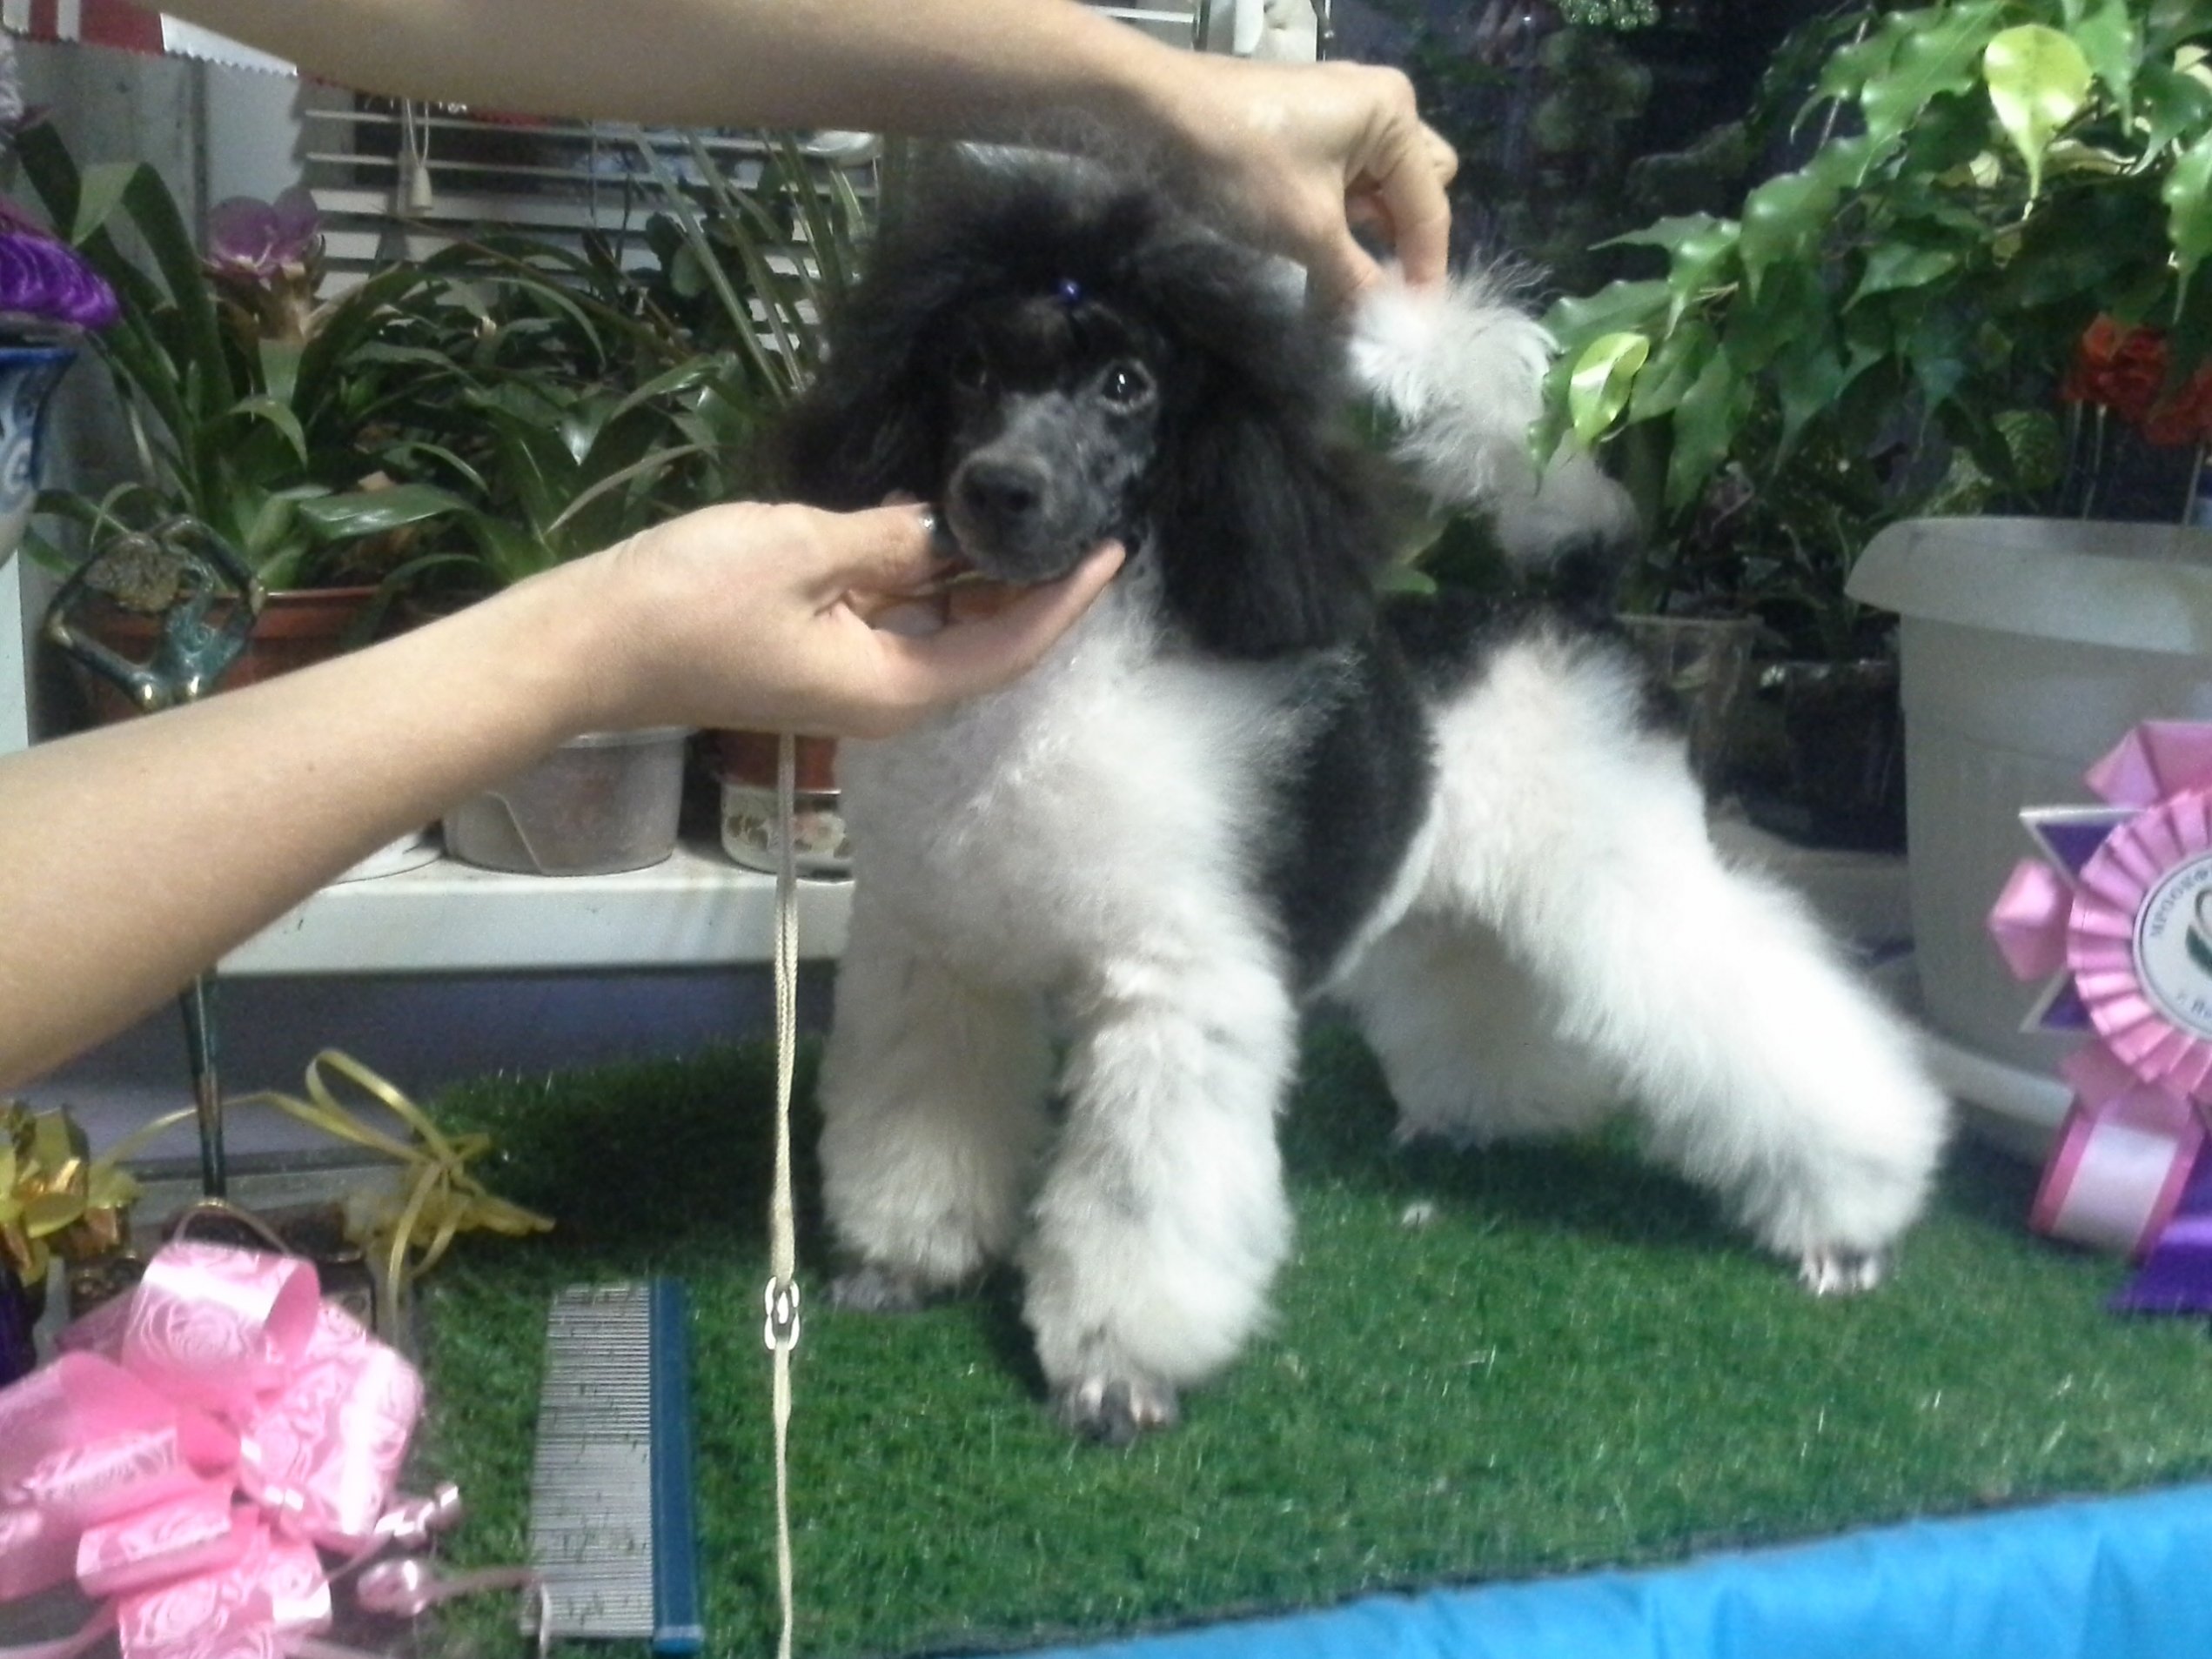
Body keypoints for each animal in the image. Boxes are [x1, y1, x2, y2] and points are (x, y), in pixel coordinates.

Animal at [779, 155, 1950, 1444]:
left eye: (1128, 386)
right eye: (969, 371)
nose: (999, 488)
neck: (1052, 687)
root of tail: (1568, 604)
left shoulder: (1174, 990)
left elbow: (1139, 1198)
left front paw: (1114, 1370)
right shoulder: (933, 955)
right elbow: (916, 1122)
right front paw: (904, 1262)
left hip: (1630, 877)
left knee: (1764, 1016)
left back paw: (1851, 1217)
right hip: (1466, 901)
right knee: (1488, 994)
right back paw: (1489, 1111)